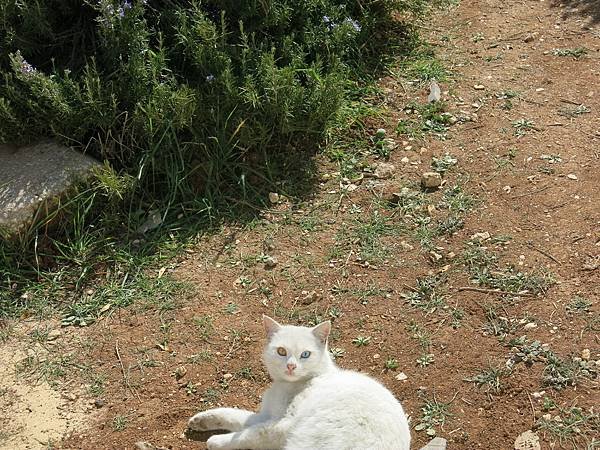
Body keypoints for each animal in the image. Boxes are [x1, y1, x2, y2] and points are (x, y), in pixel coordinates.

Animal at [189, 316, 412, 450]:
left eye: (305, 354)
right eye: (281, 351)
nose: (291, 366)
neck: (285, 386)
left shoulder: (281, 425)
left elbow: (248, 434)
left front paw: (217, 441)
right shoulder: (268, 415)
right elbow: (236, 416)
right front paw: (201, 420)